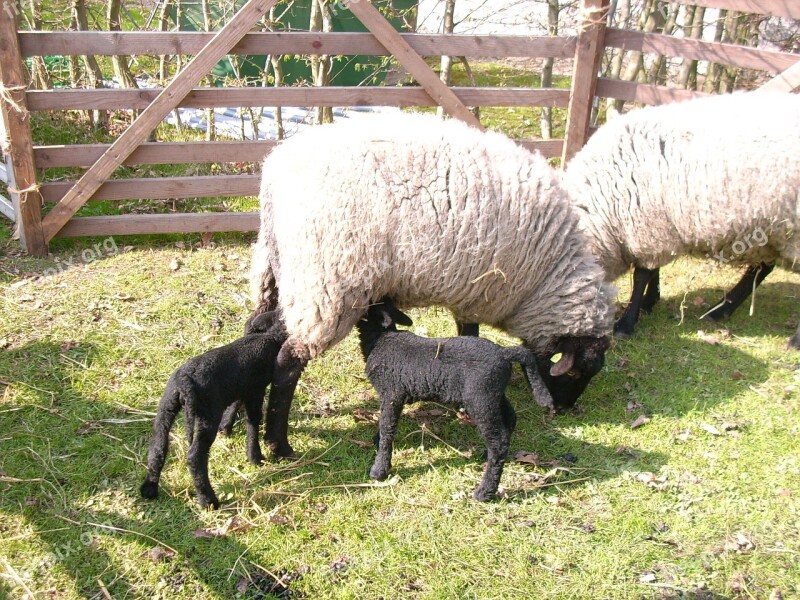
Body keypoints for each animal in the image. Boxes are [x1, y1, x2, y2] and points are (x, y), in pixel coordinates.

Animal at [141, 312, 288, 508]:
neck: (268, 337)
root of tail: (184, 383)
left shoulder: (241, 387)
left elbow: (236, 404)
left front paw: (226, 428)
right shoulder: (255, 390)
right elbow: (253, 421)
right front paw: (255, 458)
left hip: (166, 408)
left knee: (158, 448)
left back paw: (149, 489)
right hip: (207, 413)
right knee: (195, 457)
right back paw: (209, 500)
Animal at [250, 112, 612, 458]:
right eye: (575, 373)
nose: (562, 409)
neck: (544, 280)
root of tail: (274, 171)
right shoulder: (478, 291)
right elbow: (470, 332)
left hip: (274, 268)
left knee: (257, 328)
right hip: (327, 284)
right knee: (288, 361)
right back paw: (278, 442)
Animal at [354, 298, 552, 500]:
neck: (379, 339)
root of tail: (504, 353)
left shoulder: (392, 394)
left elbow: (387, 428)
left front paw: (379, 470)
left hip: (480, 398)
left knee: (498, 442)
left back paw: (484, 492)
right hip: (494, 393)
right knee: (509, 421)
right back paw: (485, 455)